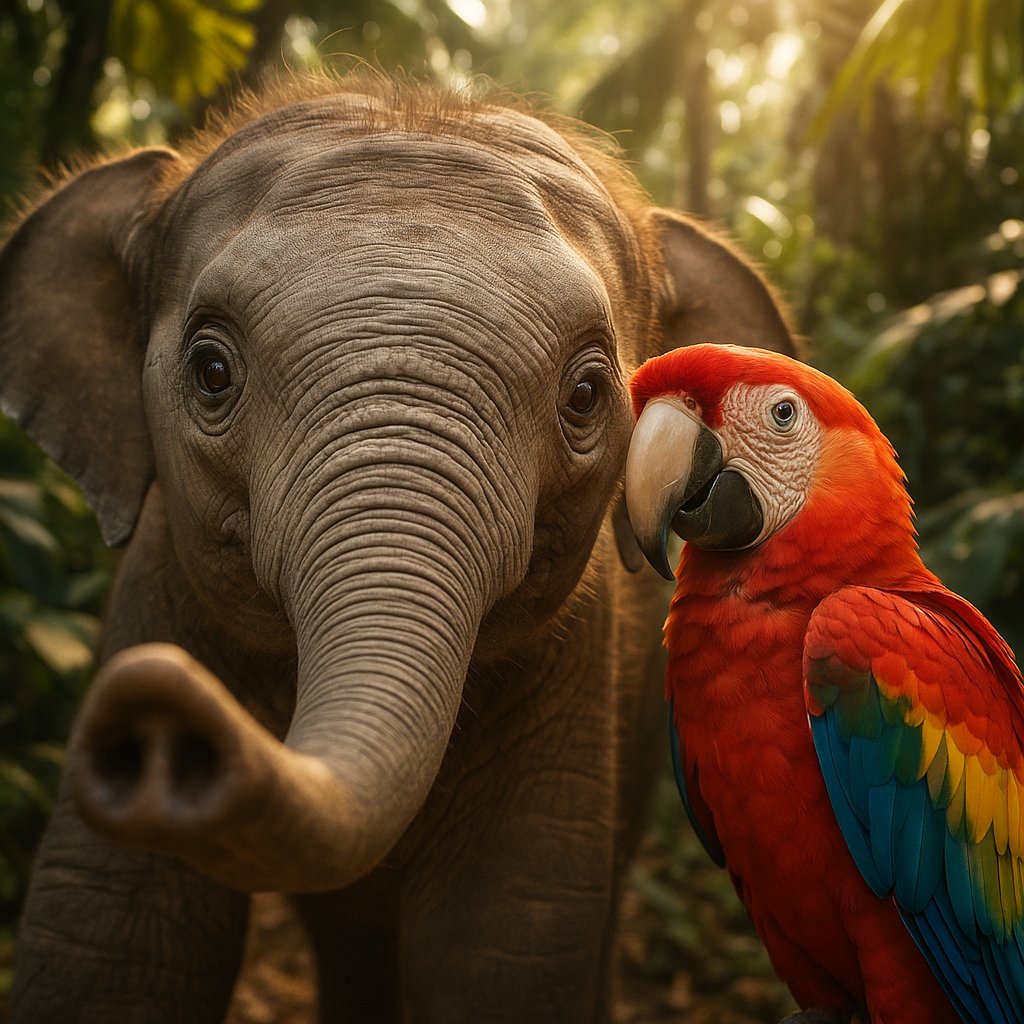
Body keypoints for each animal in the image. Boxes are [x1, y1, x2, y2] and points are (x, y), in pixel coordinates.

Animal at [0, 73, 795, 1023]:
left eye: (587, 393)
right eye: (211, 372)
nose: (159, 708)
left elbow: (502, 947)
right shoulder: (157, 582)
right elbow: (115, 945)